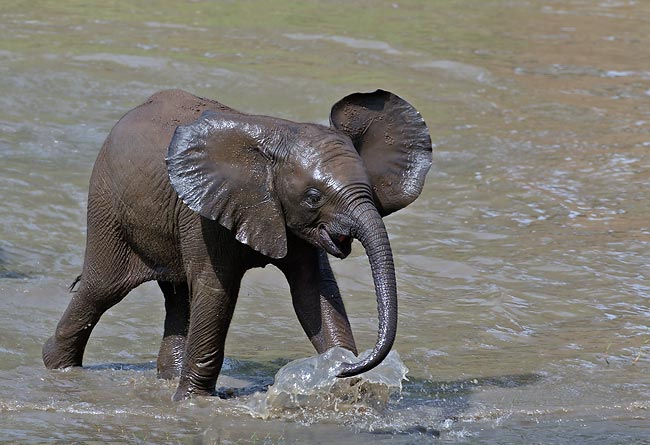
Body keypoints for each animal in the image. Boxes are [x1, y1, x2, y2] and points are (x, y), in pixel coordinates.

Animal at [42, 88, 432, 401]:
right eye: (313, 197)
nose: (348, 367)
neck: (278, 139)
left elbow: (315, 293)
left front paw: (345, 382)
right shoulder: (205, 213)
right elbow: (217, 292)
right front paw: (195, 403)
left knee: (178, 297)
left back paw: (166, 378)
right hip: (108, 206)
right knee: (101, 289)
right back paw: (56, 366)